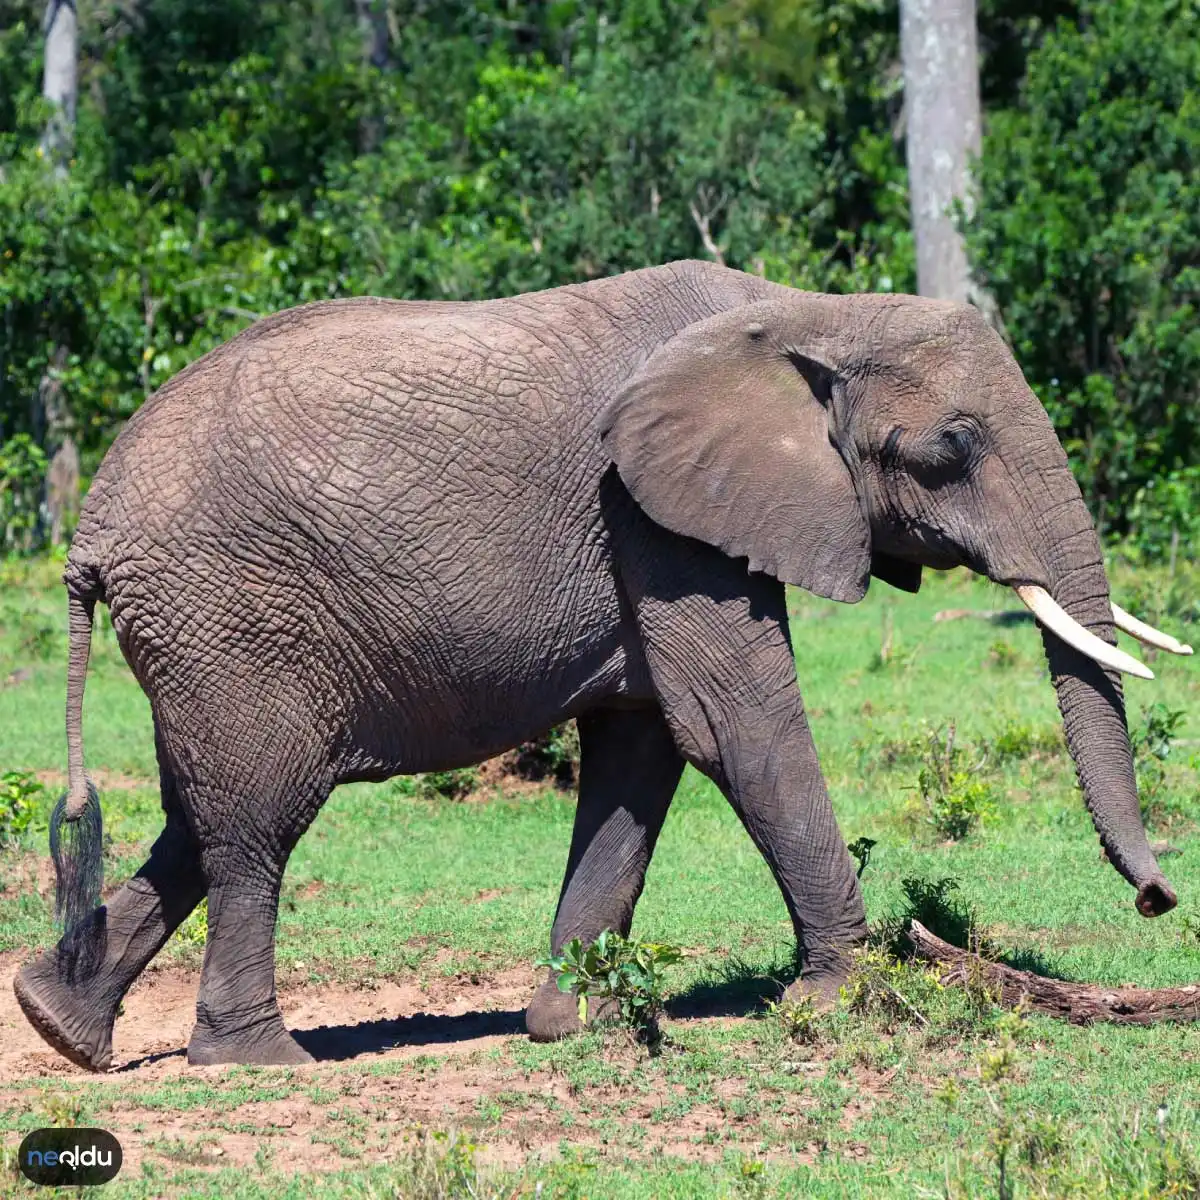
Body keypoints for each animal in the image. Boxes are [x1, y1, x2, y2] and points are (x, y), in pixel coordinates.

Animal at [11, 260, 1190, 1070]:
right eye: (952, 447)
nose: (1158, 901)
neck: (805, 308)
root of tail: (91, 527)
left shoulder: (657, 528)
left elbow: (643, 746)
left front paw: (567, 1024)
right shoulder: (658, 517)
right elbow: (735, 724)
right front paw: (836, 1003)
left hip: (203, 637)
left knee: (197, 819)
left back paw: (59, 1026)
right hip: (231, 617)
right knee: (256, 823)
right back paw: (260, 1062)